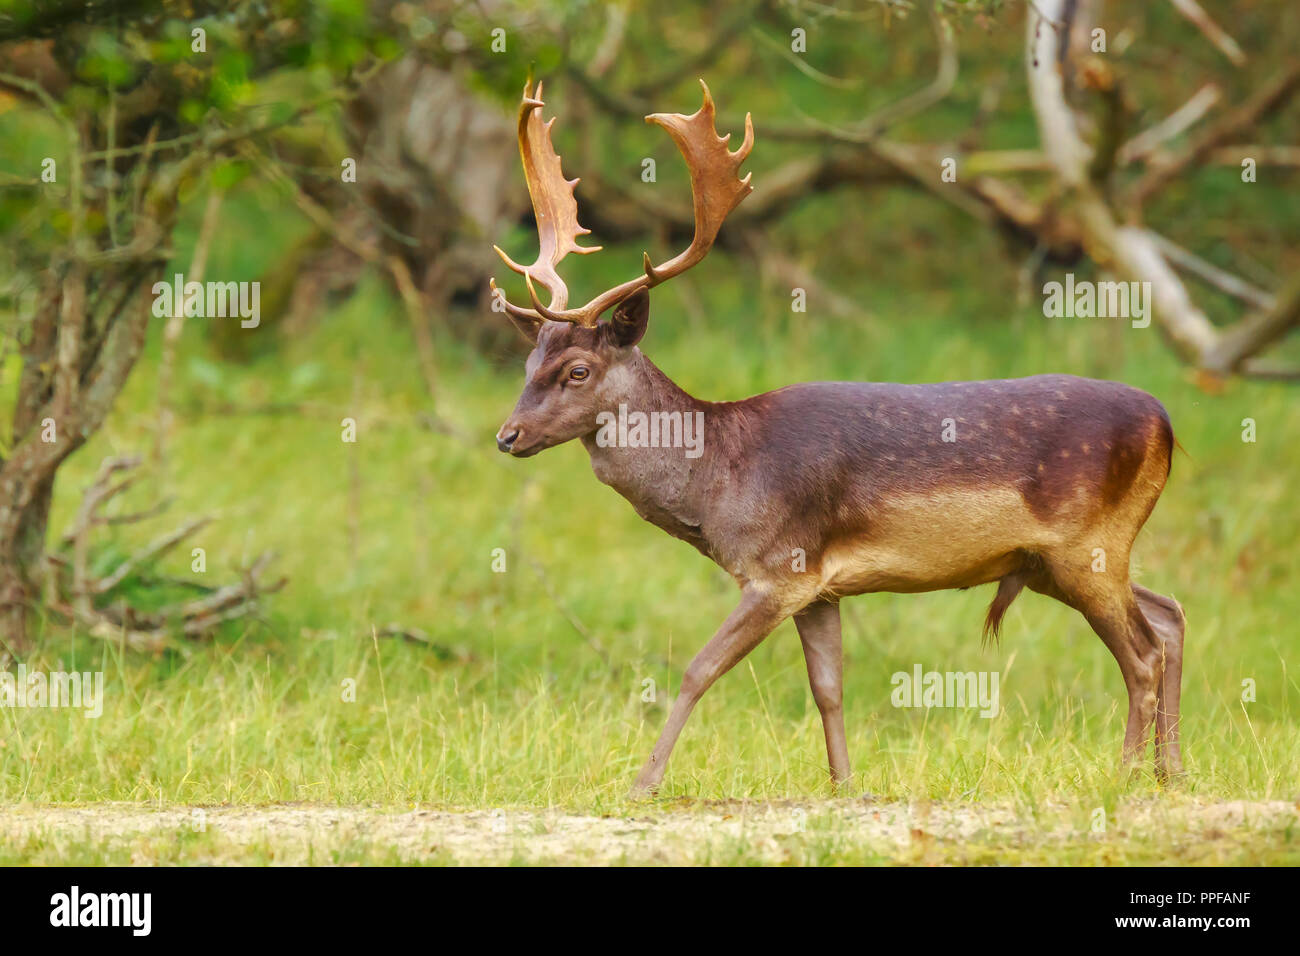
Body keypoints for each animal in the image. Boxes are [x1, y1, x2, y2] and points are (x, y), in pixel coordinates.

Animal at [488, 78, 1190, 796]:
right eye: (528, 361)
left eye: (578, 370)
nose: (508, 436)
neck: (719, 480)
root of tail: (1165, 423)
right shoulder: (818, 584)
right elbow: (828, 687)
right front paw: (846, 784)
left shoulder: (777, 568)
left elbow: (698, 669)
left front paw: (643, 783)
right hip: (1059, 561)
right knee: (1170, 615)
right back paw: (1171, 772)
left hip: (1086, 544)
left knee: (1142, 653)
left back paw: (1126, 776)